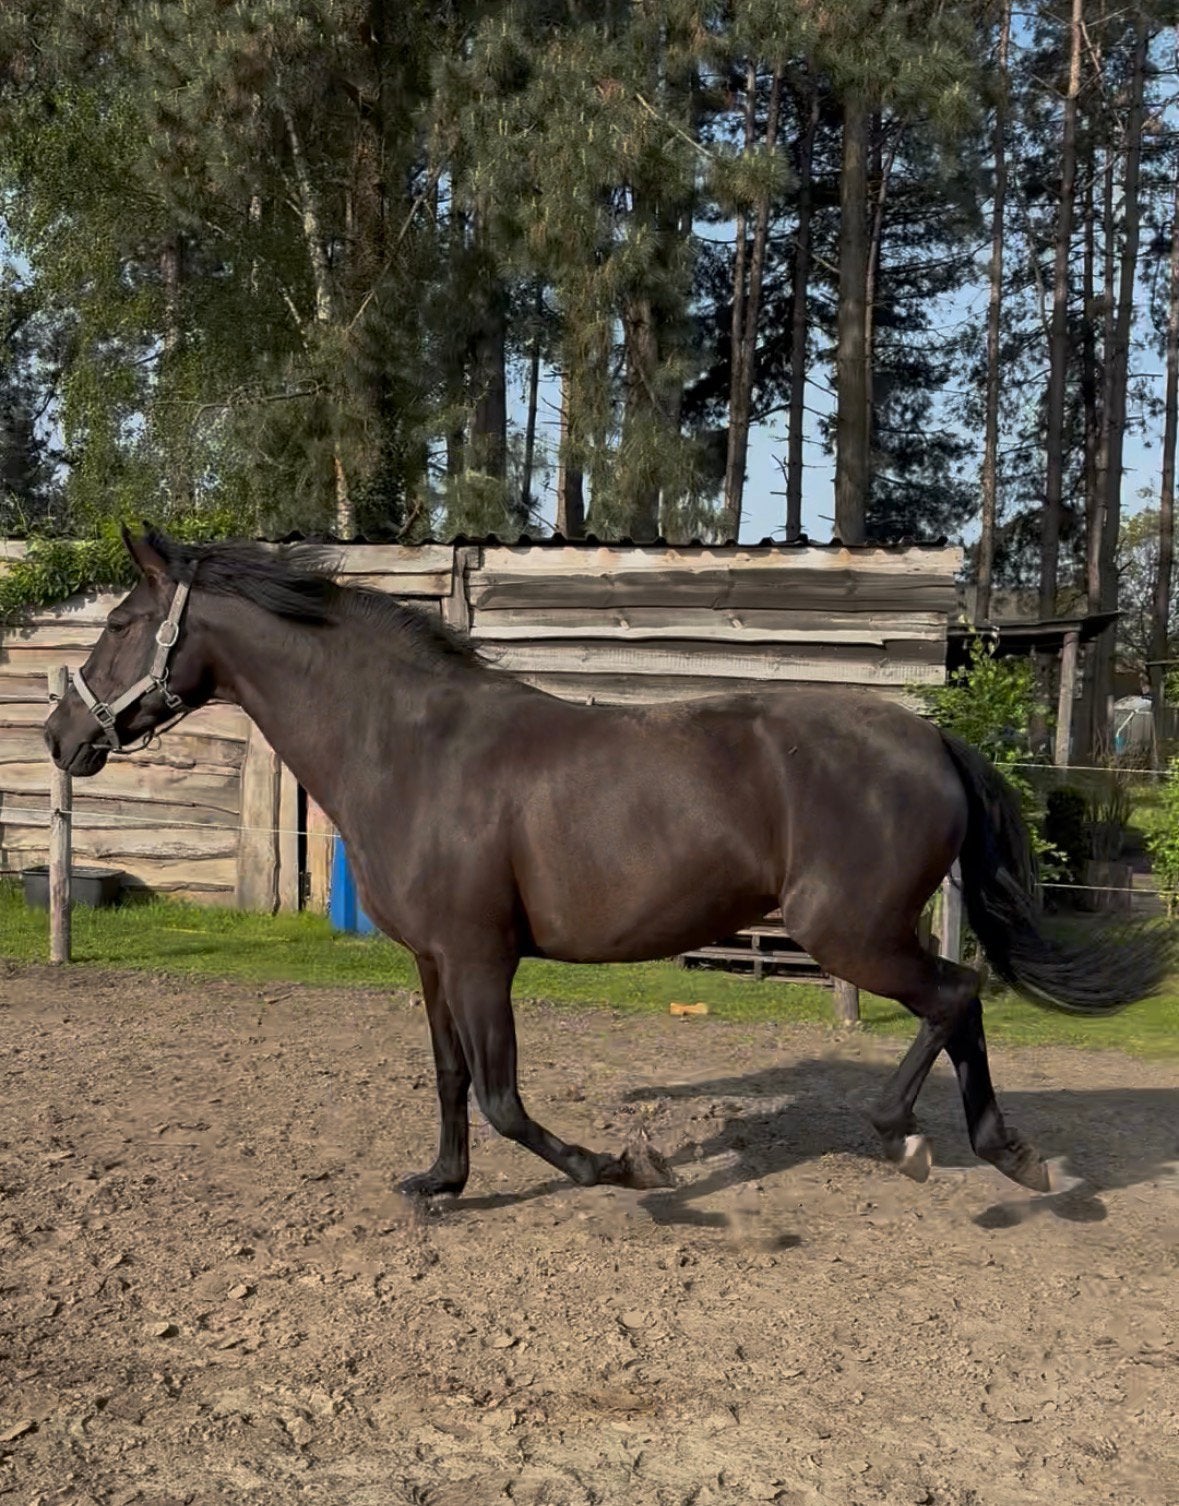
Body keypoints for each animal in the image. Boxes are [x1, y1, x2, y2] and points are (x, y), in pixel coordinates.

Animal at [44, 529, 1168, 1201]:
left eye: (119, 624)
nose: (62, 737)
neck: (411, 747)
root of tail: (930, 739)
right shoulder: (434, 962)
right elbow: (450, 1078)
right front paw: (438, 1184)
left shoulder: (483, 958)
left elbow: (503, 1097)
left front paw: (621, 1164)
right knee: (961, 1005)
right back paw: (1002, 1153)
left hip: (848, 933)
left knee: (955, 995)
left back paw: (912, 1132)